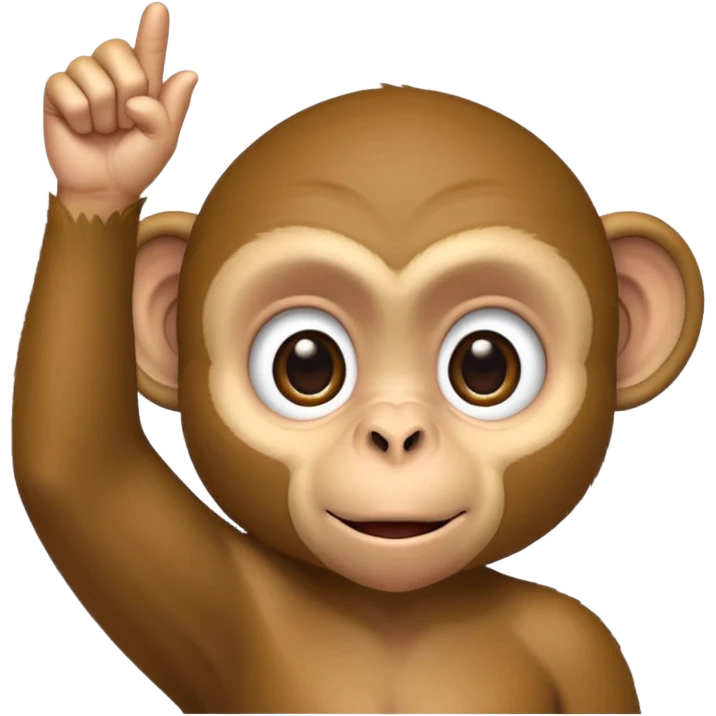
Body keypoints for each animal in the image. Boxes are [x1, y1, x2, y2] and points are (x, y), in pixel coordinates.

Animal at [13, 2, 705, 714]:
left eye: (485, 366)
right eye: (307, 365)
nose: (395, 435)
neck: (395, 611)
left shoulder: (579, 642)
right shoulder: (218, 596)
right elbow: (78, 472)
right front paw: (108, 138)